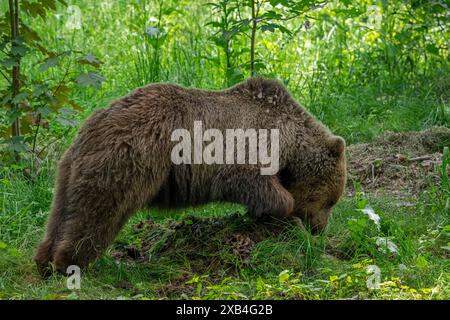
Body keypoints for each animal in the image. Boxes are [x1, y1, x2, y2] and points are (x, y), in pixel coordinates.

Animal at [33, 77, 346, 276]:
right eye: (331, 201)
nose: (320, 229)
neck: (288, 139)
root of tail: (92, 125)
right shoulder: (249, 143)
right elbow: (250, 180)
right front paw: (285, 209)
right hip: (127, 163)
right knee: (98, 213)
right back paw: (69, 263)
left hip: (69, 169)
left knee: (63, 211)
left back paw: (44, 260)